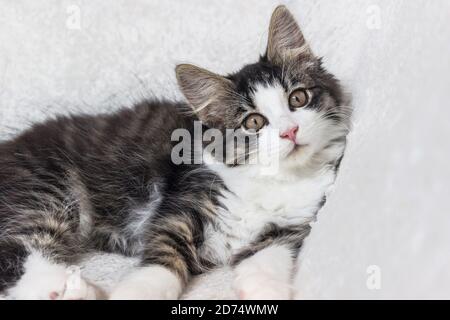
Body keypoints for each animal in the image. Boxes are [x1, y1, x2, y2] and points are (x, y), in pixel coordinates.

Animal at [0, 5, 350, 300]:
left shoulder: (295, 225)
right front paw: (137, 293)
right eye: (254, 122)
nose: (290, 131)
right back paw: (70, 288)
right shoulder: (179, 207)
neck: (274, 178)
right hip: (47, 189)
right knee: (16, 248)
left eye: (298, 98)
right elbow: (163, 261)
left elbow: (269, 256)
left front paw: (264, 290)